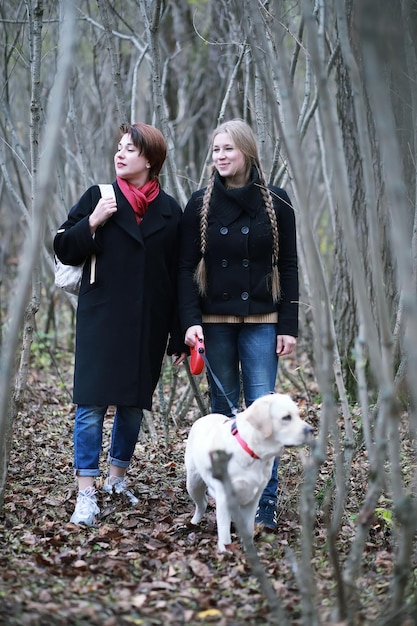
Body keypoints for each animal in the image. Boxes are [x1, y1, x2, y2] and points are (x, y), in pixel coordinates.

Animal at [185, 392, 312, 548]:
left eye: (298, 415)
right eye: (286, 417)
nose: (310, 430)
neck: (252, 451)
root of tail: (203, 418)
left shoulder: (254, 498)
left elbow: (248, 529)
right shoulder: (224, 497)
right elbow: (225, 535)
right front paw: (226, 551)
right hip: (193, 483)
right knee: (202, 503)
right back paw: (193, 523)